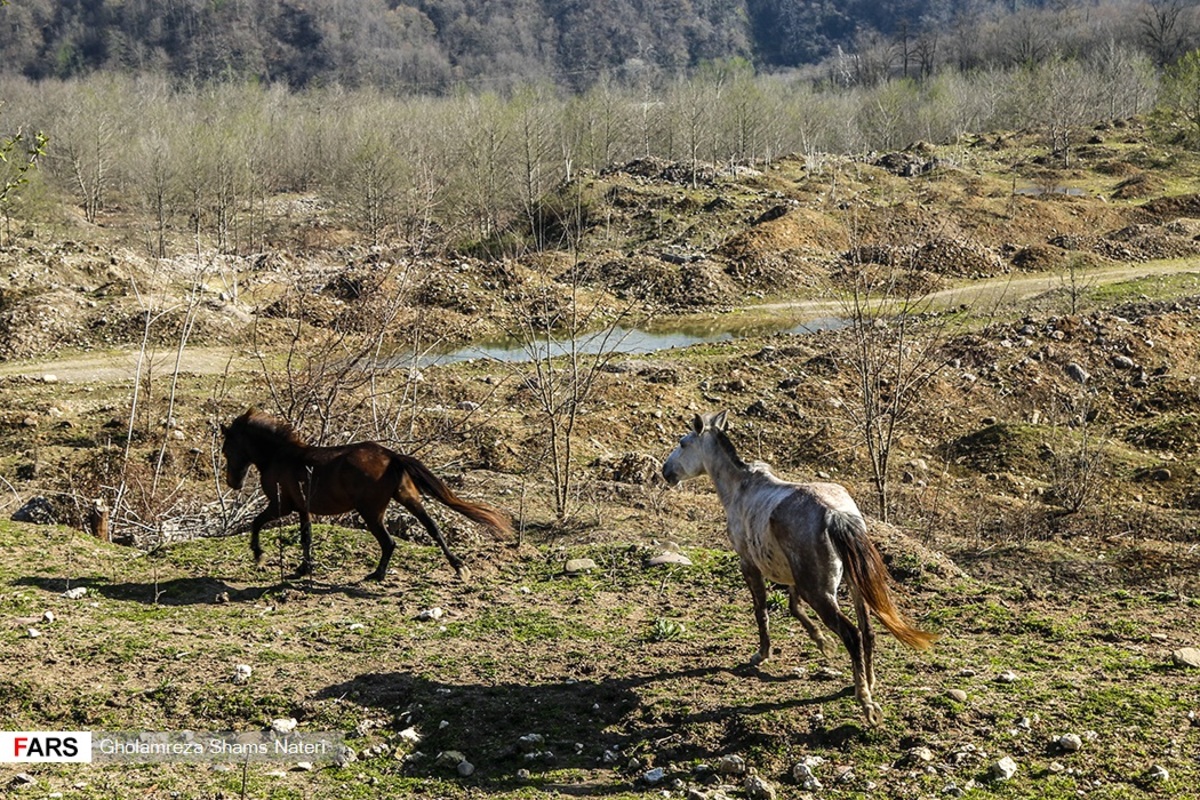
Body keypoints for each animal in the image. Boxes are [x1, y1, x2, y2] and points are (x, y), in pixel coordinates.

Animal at [220, 412, 511, 582]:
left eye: (226, 449)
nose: (233, 483)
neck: (279, 455)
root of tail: (392, 456)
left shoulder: (282, 506)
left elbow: (257, 523)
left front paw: (259, 556)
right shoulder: (303, 509)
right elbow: (306, 537)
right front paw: (304, 568)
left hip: (371, 512)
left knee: (389, 542)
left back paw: (377, 574)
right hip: (408, 499)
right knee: (433, 529)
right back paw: (459, 567)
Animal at [667, 412, 936, 724]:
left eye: (683, 443)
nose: (665, 471)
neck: (740, 488)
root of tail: (836, 514)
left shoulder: (749, 565)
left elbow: (762, 611)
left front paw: (762, 654)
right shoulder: (793, 577)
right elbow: (794, 608)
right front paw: (823, 643)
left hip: (820, 593)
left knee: (852, 634)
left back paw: (865, 701)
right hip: (853, 586)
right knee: (867, 630)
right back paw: (868, 682)